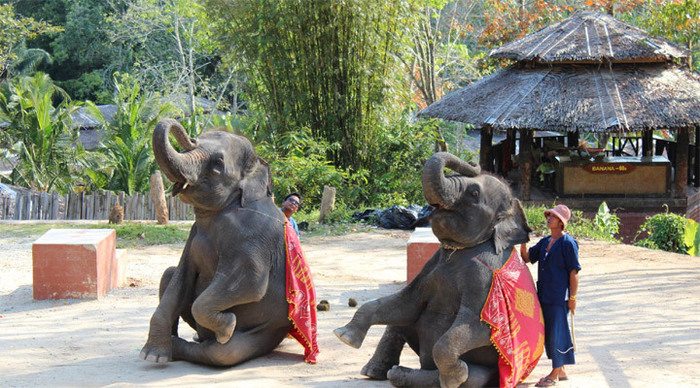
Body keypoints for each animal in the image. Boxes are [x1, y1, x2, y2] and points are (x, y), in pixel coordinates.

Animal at [139, 118, 308, 366]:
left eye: (218, 162)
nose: (188, 136)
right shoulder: (193, 235)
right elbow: (180, 278)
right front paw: (152, 356)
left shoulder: (255, 232)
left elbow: (251, 282)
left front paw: (227, 327)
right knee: (168, 274)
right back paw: (185, 340)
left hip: (268, 332)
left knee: (225, 353)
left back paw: (196, 343)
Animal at [334, 152, 532, 388]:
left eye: (474, 193)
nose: (474, 163)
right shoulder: (430, 267)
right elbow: (406, 302)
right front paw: (343, 336)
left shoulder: (486, 274)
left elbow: (478, 325)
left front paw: (455, 376)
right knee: (397, 325)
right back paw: (376, 372)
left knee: (474, 378)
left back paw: (409, 375)